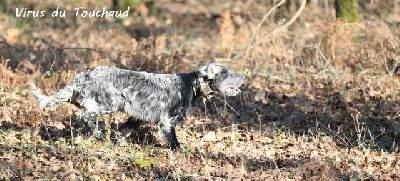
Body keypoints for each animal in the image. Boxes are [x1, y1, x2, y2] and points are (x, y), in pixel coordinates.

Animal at [31, 63, 245, 149]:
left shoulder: (137, 117)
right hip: (113, 101)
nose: (244, 76)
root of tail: (81, 76)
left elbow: (123, 132)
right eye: (226, 72)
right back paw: (98, 134)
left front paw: (116, 145)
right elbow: (175, 144)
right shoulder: (167, 123)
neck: (191, 84)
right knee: (85, 116)